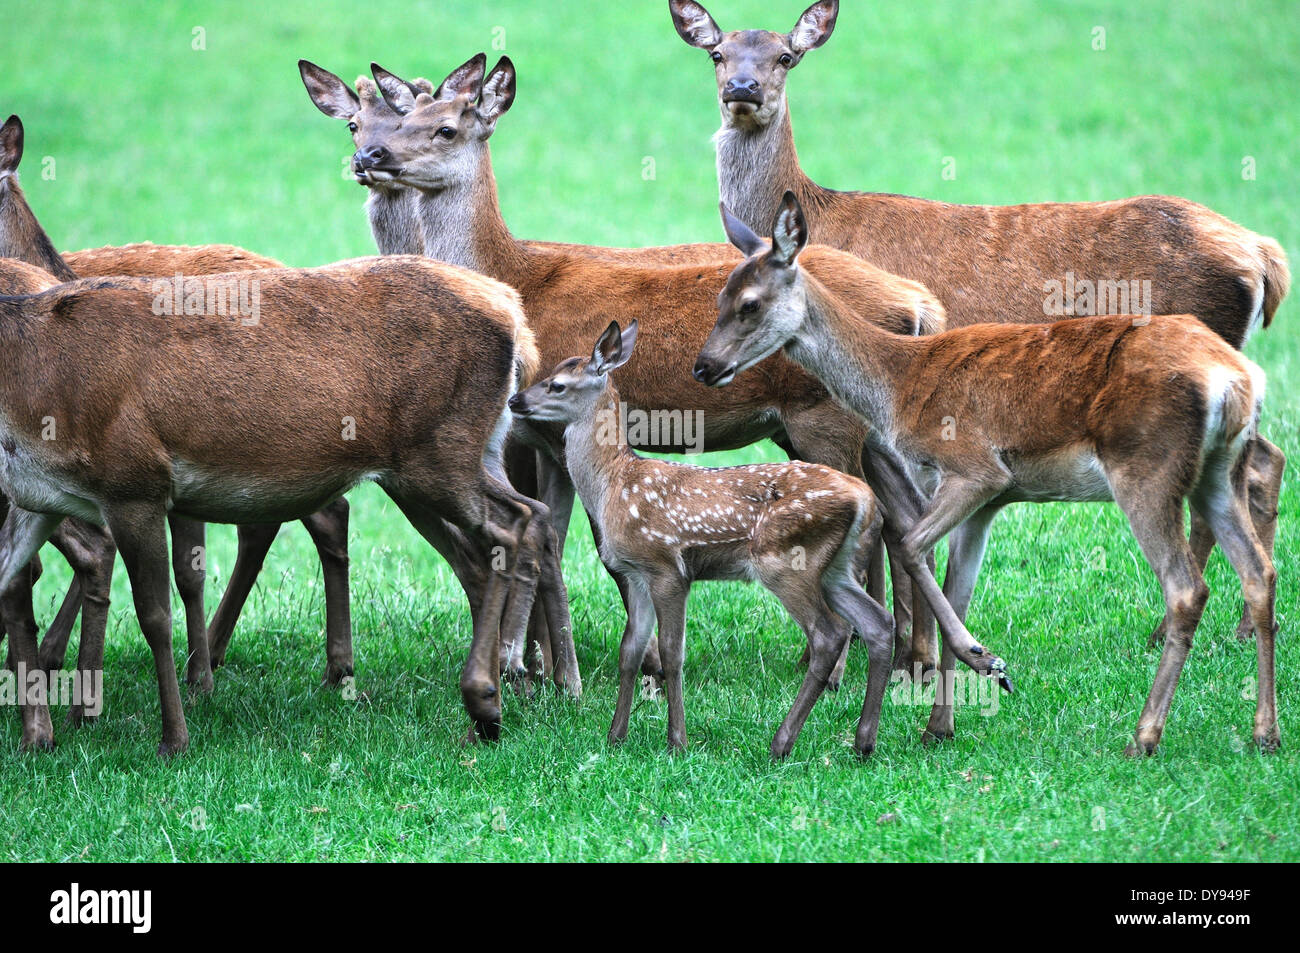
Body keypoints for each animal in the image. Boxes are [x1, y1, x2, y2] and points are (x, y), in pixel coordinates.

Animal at [0, 253, 575, 755]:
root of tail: (512, 313)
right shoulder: (37, 498)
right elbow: (10, 581)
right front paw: (36, 739)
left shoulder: (133, 484)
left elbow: (154, 616)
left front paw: (174, 739)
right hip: (449, 461)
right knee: (492, 546)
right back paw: (490, 705)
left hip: (439, 454)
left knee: (516, 521)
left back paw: (490, 695)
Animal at [304, 54, 950, 692]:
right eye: (377, 121)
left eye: (444, 128)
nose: (371, 158)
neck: (517, 278)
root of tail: (917, 303)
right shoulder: (543, 436)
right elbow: (554, 535)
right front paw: (550, 666)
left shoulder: (549, 429)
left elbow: (574, 542)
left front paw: (568, 669)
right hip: (866, 427)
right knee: (907, 517)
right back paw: (918, 660)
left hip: (823, 415)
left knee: (872, 526)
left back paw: (845, 666)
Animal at [510, 320, 1009, 758]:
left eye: (557, 385)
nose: (515, 400)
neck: (614, 485)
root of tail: (866, 500)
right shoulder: (634, 573)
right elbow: (630, 651)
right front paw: (615, 737)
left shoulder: (668, 565)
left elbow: (672, 652)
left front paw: (676, 742)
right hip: (833, 568)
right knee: (876, 623)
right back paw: (863, 742)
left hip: (786, 559)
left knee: (829, 633)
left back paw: (782, 742)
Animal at [671, 0, 1290, 652]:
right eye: (718, 53)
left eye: (786, 56)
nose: (743, 89)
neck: (817, 213)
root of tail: (1263, 256)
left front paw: (903, 647)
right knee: (1264, 461)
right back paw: (1244, 623)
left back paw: (1175, 630)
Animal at [694, 193, 1278, 756]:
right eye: (718, 297)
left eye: (749, 304)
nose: (703, 367)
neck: (899, 384)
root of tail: (1236, 379)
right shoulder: (989, 502)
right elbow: (956, 589)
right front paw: (939, 725)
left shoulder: (975, 469)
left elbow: (909, 546)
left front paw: (984, 660)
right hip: (1218, 470)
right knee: (1258, 571)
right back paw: (1264, 733)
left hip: (1146, 469)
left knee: (1186, 588)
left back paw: (1145, 736)